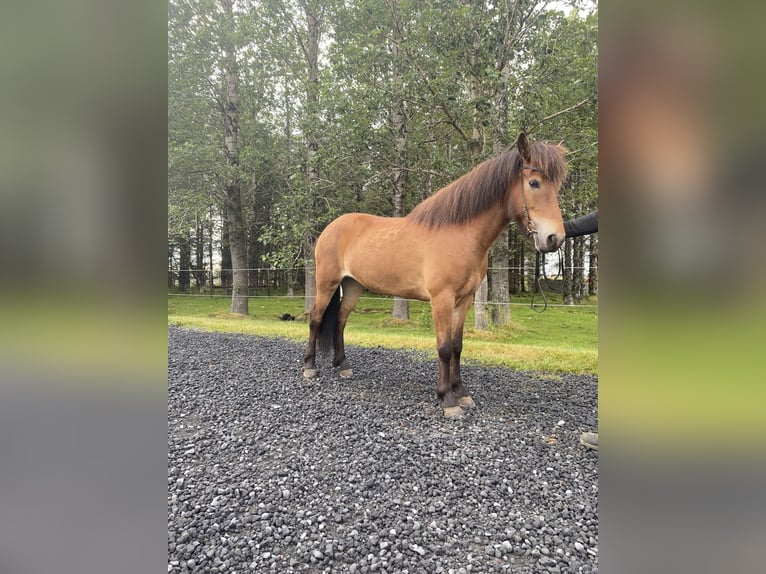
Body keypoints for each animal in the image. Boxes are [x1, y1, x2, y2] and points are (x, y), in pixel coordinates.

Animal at [304, 132, 568, 418]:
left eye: (557, 187)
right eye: (534, 183)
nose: (554, 238)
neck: (459, 235)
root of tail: (330, 228)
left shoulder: (464, 300)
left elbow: (457, 346)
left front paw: (462, 392)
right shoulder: (442, 299)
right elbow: (443, 348)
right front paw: (448, 399)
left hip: (352, 285)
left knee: (340, 321)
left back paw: (342, 366)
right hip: (327, 283)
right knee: (316, 320)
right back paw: (309, 367)